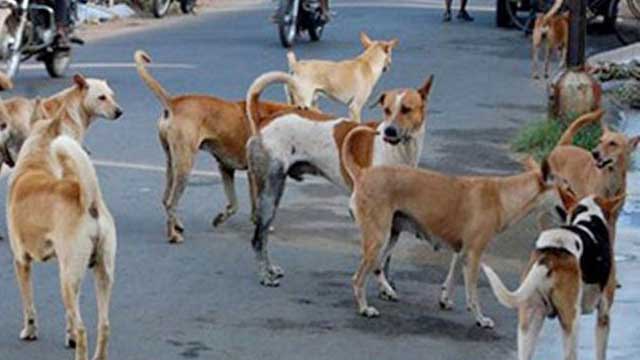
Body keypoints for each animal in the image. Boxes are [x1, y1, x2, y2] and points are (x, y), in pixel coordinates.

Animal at [7, 105, 116, 360]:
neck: (35, 163)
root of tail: (89, 201)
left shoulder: (21, 261)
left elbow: (28, 304)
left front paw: (30, 331)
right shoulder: (64, 266)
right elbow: (69, 316)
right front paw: (69, 337)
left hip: (67, 279)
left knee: (83, 329)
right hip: (99, 274)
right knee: (104, 325)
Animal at [133, 49, 308, 243]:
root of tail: (174, 102)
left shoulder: (226, 168)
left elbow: (235, 204)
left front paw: (222, 218)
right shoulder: (253, 174)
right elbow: (256, 204)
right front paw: (261, 223)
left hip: (172, 163)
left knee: (165, 199)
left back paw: (177, 225)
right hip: (185, 165)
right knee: (171, 201)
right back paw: (173, 235)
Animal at [342, 127, 552, 330]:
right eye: (561, 189)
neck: (502, 196)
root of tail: (362, 174)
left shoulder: (461, 252)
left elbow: (451, 279)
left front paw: (445, 300)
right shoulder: (473, 255)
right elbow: (472, 294)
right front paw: (480, 319)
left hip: (391, 235)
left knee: (377, 267)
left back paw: (387, 291)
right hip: (378, 238)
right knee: (358, 278)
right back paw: (364, 308)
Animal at [482, 188, 624, 360]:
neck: (589, 219)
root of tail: (550, 255)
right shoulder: (603, 316)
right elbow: (600, 353)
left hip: (528, 323)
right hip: (571, 321)